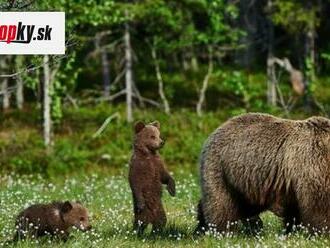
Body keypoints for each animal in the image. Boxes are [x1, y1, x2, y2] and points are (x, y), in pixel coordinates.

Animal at [197, 113, 330, 233]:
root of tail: (214, 132)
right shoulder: (312, 162)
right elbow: (318, 205)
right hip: (221, 169)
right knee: (222, 205)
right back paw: (219, 231)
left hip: (248, 182)